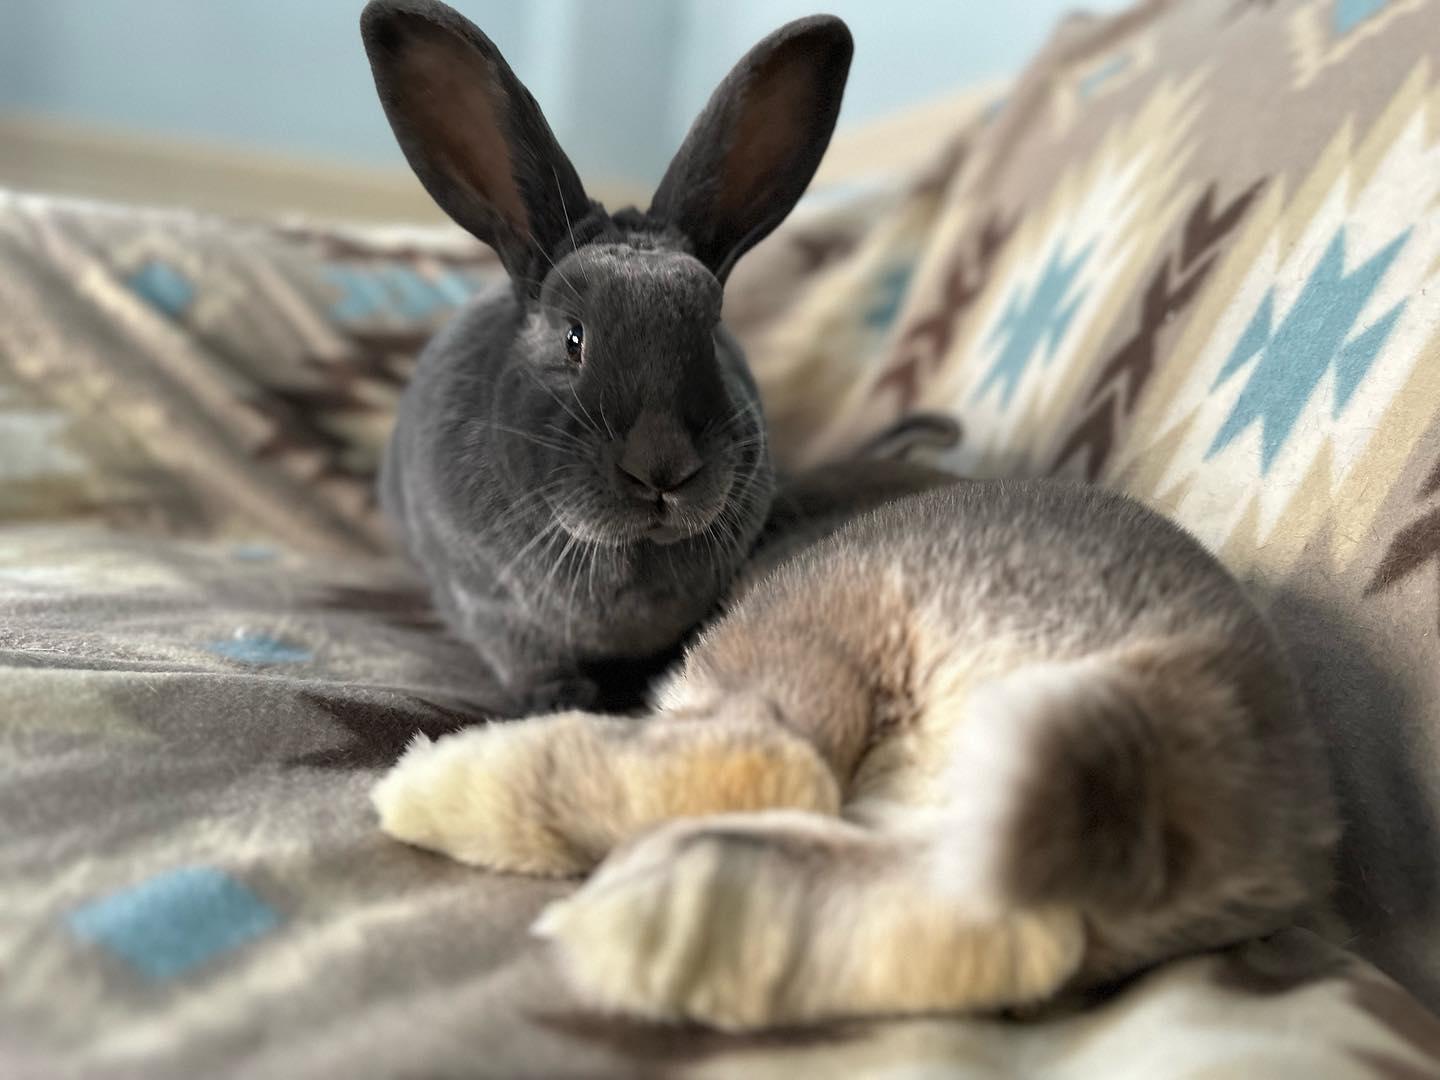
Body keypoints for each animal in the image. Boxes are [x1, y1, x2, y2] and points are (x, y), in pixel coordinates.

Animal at [361, 0, 856, 713]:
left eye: (713, 331)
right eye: (574, 337)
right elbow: (528, 660)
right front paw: (560, 703)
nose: (662, 466)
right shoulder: (486, 604)